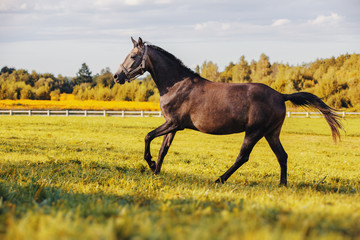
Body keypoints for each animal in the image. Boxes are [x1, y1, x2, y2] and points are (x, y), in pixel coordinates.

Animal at [114, 36, 342, 186]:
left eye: (133, 56)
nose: (117, 76)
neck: (177, 84)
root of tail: (280, 95)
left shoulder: (173, 123)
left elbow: (148, 136)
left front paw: (151, 163)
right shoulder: (174, 125)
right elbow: (163, 148)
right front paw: (155, 170)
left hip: (254, 132)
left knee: (243, 157)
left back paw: (219, 179)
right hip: (271, 133)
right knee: (282, 156)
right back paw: (282, 185)